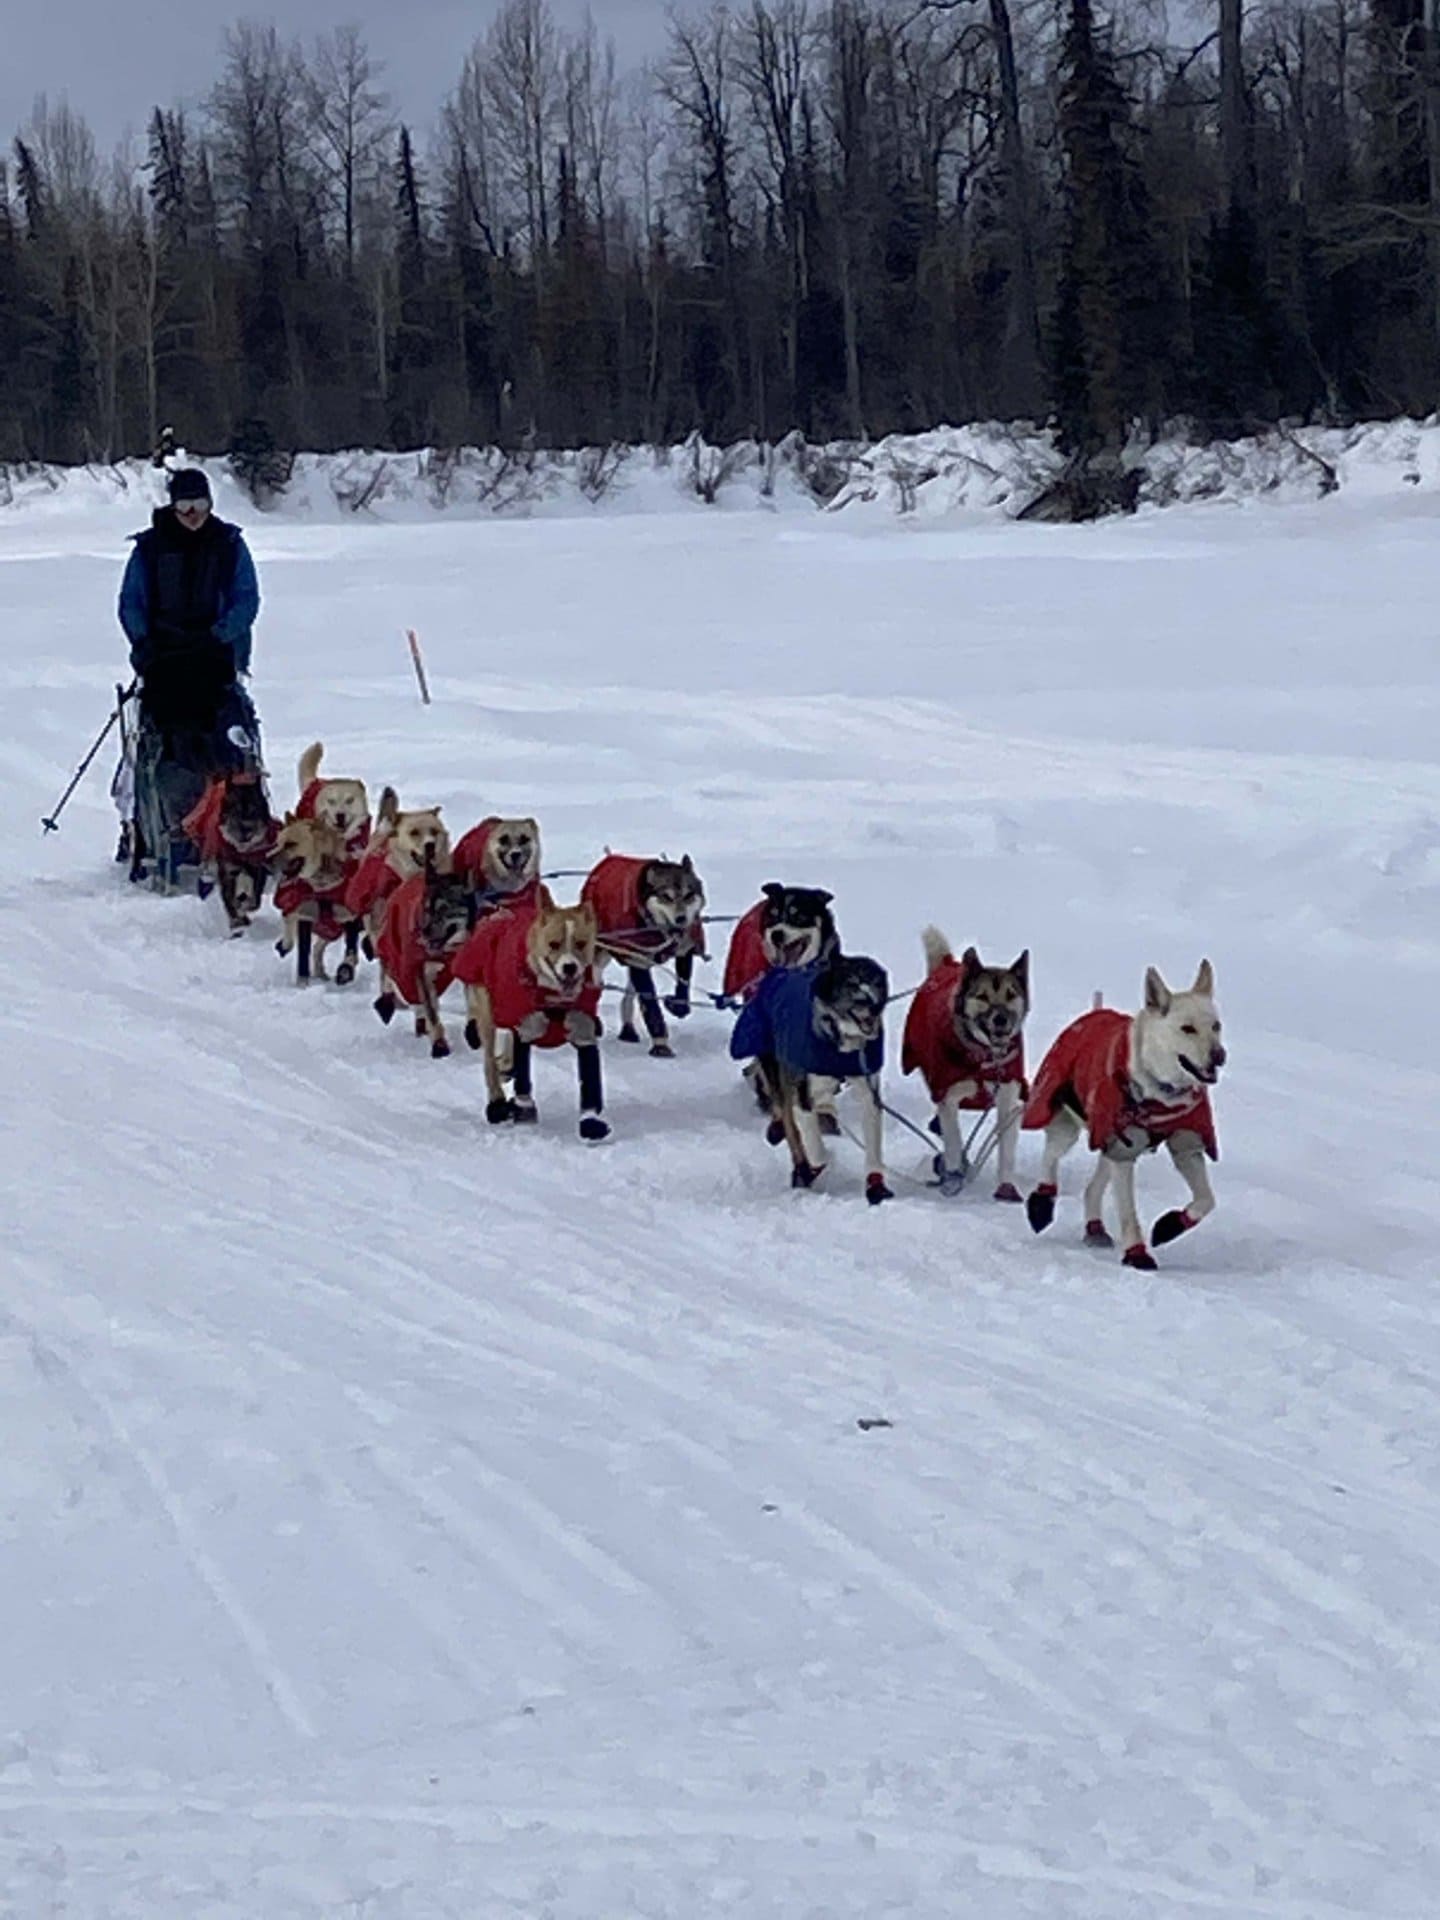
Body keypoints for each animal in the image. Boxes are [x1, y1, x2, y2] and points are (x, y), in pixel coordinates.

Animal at [725, 956, 898, 1205]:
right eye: (852, 983)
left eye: (876, 983)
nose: (873, 1005)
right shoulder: (801, 1094)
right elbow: (814, 1146)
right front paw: (816, 1166)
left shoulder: (868, 1092)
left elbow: (873, 1146)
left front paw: (876, 1186)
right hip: (778, 1075)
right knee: (790, 1125)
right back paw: (801, 1167)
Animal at [902, 929, 1029, 1198]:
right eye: (982, 996)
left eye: (1011, 994)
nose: (1000, 1019)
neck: (983, 1057)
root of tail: (948, 963)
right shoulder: (947, 1095)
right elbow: (953, 1139)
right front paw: (952, 1178)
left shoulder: (1007, 1099)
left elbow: (1006, 1149)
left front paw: (1006, 1188)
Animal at [1029, 960, 1228, 1274]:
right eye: (1187, 1029)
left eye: (1216, 1026)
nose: (1219, 1055)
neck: (1159, 1093)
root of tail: (1094, 1012)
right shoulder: (1124, 1150)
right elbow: (1128, 1213)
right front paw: (1136, 1253)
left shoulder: (1187, 1144)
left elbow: (1207, 1200)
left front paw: (1170, 1226)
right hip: (1067, 1125)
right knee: (1050, 1158)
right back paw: (1042, 1202)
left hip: (1105, 1140)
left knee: (1092, 1188)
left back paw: (1095, 1227)